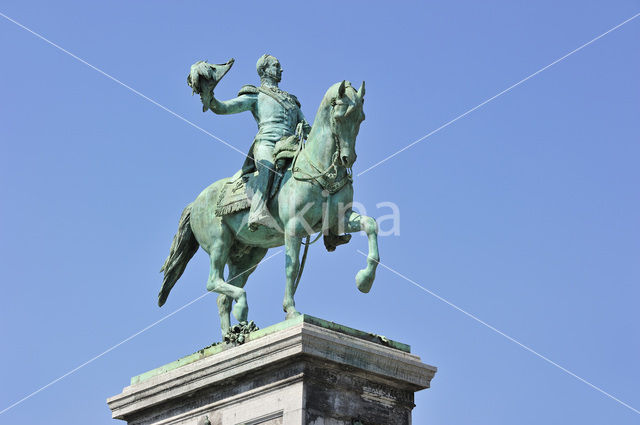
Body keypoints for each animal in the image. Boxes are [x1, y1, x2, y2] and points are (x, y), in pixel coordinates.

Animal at [158, 79, 380, 334]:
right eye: (341, 115)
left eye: (361, 118)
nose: (347, 159)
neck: (319, 169)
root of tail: (196, 202)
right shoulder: (294, 228)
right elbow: (292, 267)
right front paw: (291, 310)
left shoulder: (340, 219)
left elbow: (371, 225)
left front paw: (364, 280)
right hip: (219, 242)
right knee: (213, 281)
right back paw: (241, 308)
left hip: (248, 256)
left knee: (222, 297)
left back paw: (231, 335)